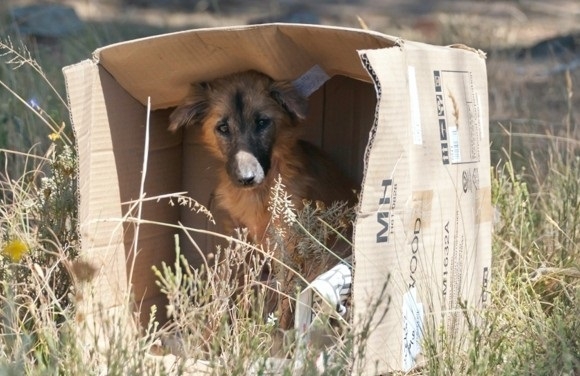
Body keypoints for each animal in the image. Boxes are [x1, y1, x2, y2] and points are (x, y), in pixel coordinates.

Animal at [170, 70, 356, 326]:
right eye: (223, 127)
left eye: (262, 122)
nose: (246, 178)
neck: (259, 194)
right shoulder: (242, 239)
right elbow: (238, 282)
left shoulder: (288, 248)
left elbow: (286, 302)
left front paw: (278, 332)